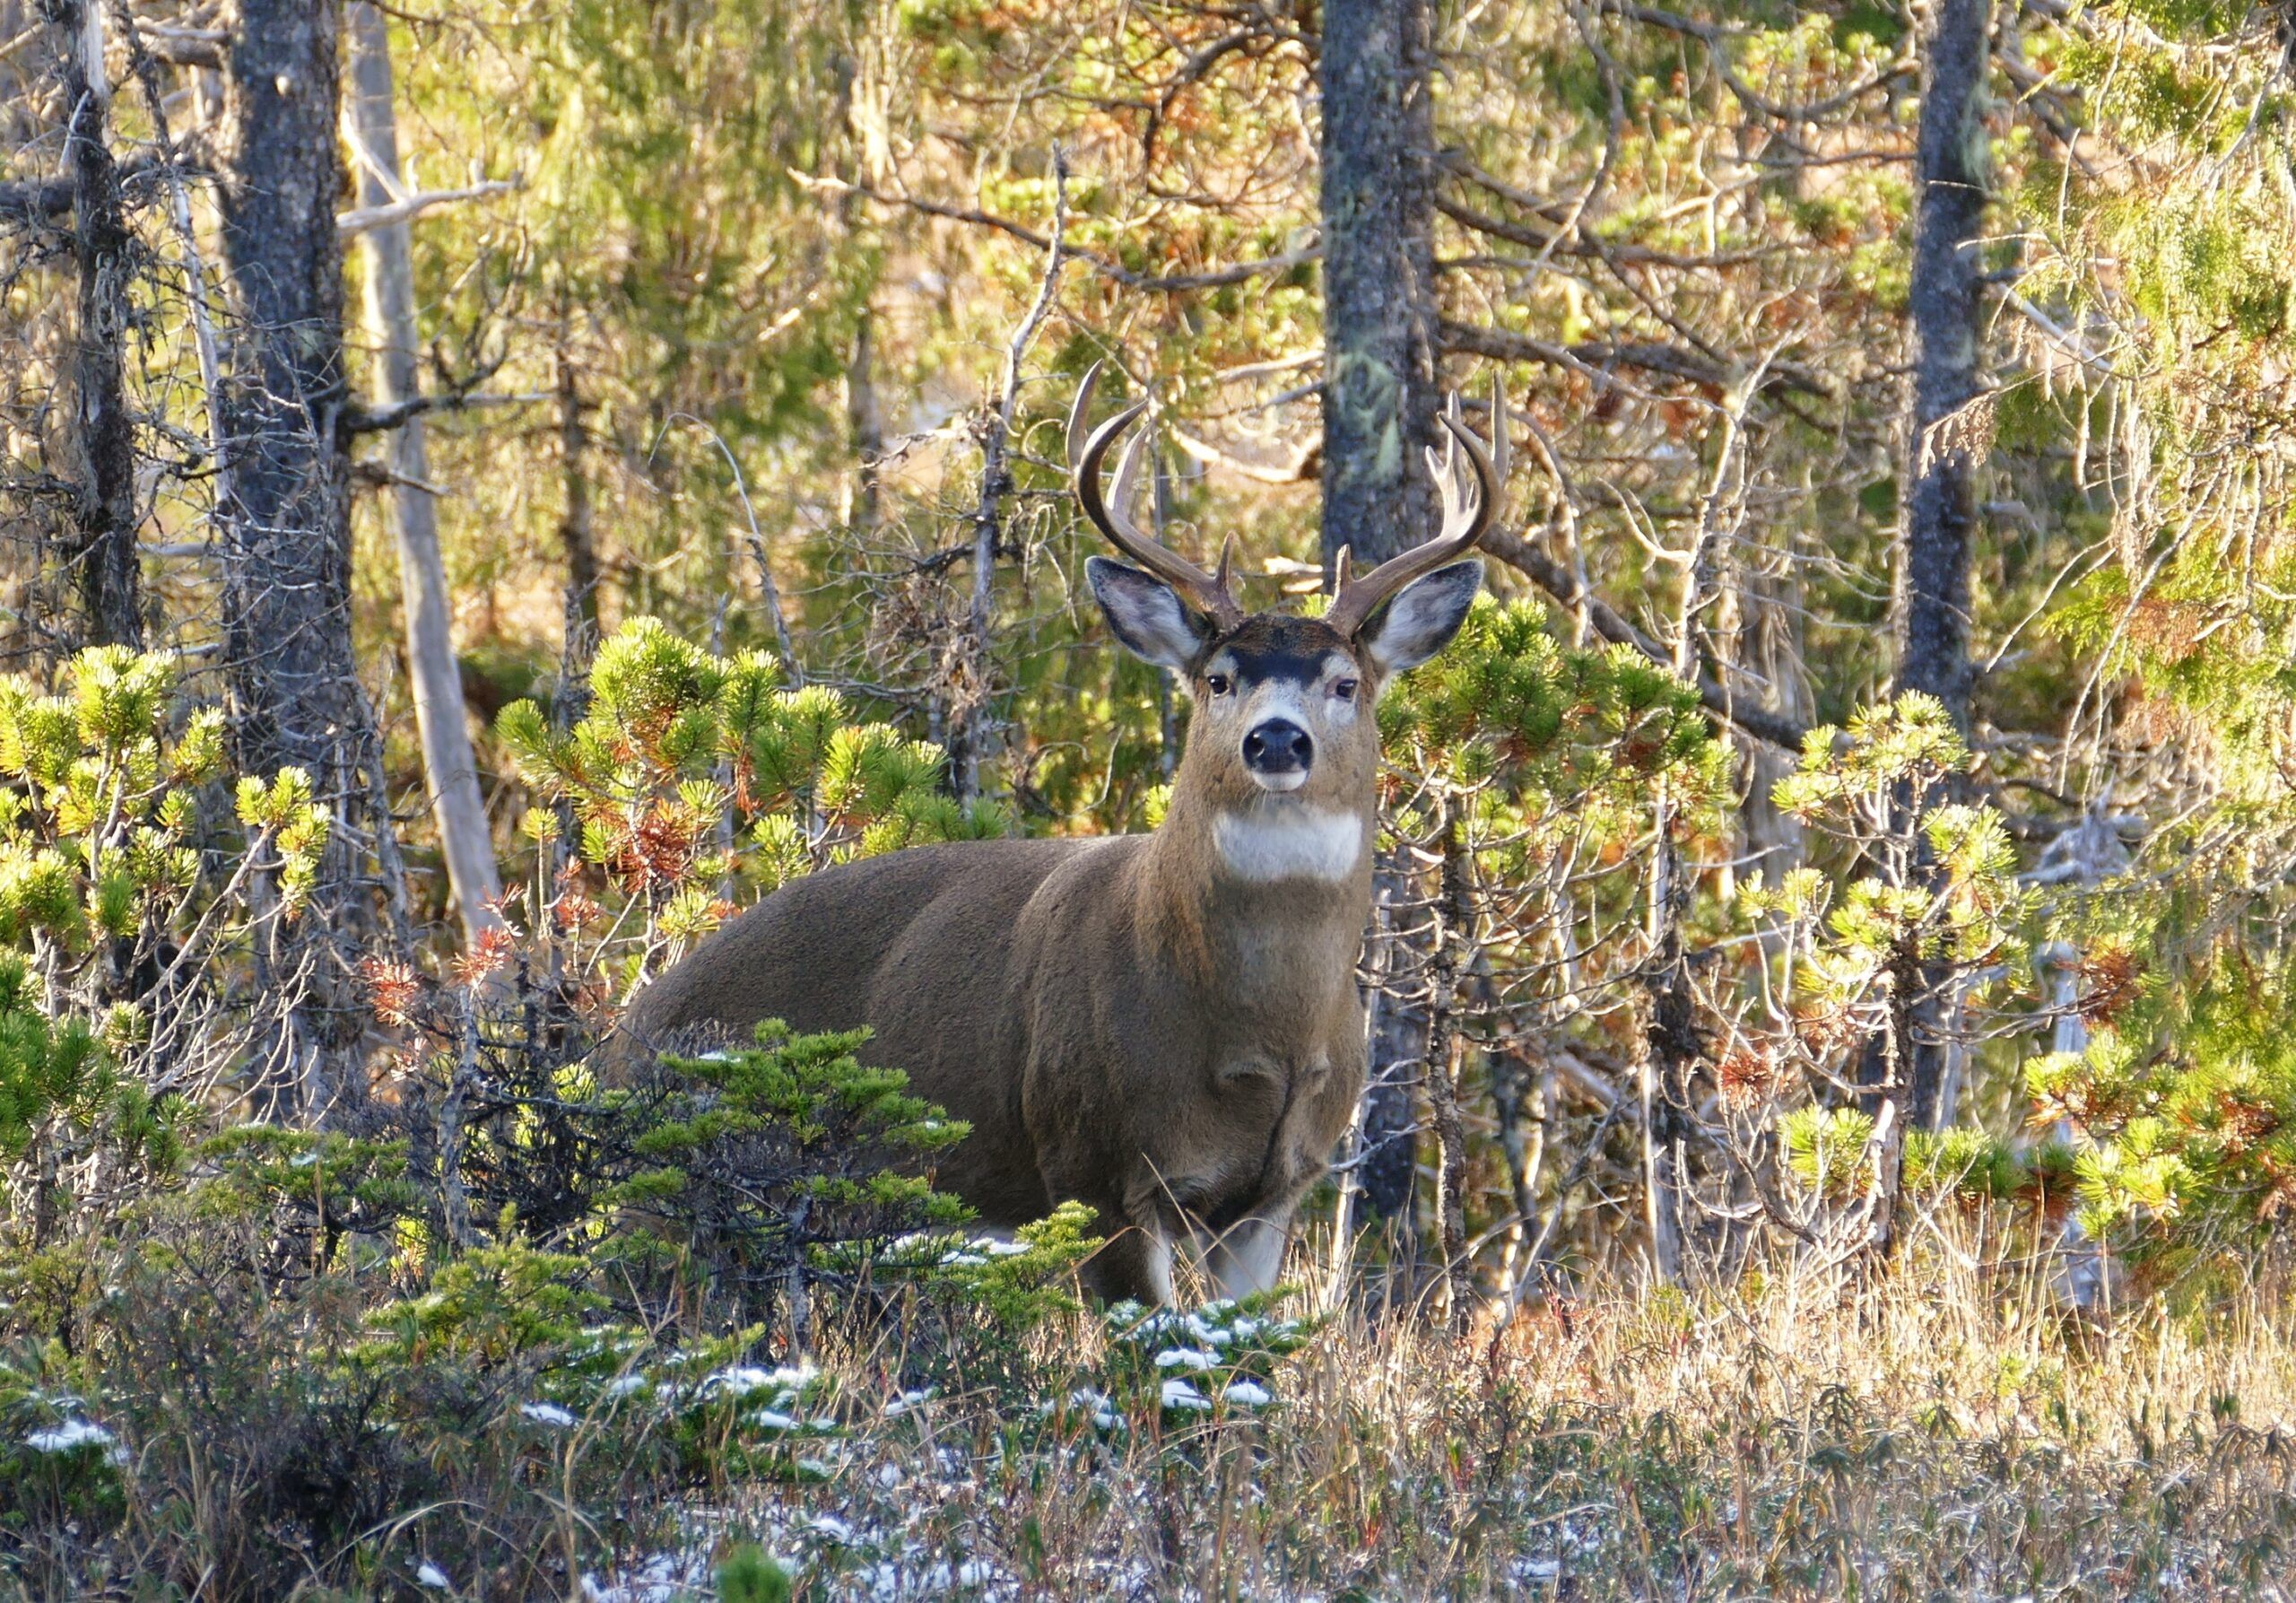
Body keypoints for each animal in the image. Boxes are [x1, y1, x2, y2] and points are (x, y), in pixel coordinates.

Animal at [624, 365, 1499, 1304]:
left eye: (1344, 682)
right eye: (1219, 679)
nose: (1276, 740)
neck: (1260, 1029)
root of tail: (617, 1037)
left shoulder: (1278, 1188)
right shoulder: (1093, 1162)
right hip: (679, 1183)